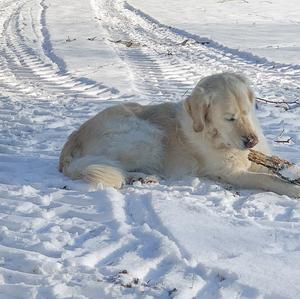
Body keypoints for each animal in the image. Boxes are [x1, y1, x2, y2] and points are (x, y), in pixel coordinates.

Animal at [58, 72, 300, 198]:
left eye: (247, 112)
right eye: (229, 118)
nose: (252, 141)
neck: (216, 137)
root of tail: (72, 140)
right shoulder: (232, 173)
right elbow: (268, 179)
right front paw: (293, 189)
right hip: (147, 135)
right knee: (115, 167)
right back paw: (141, 177)